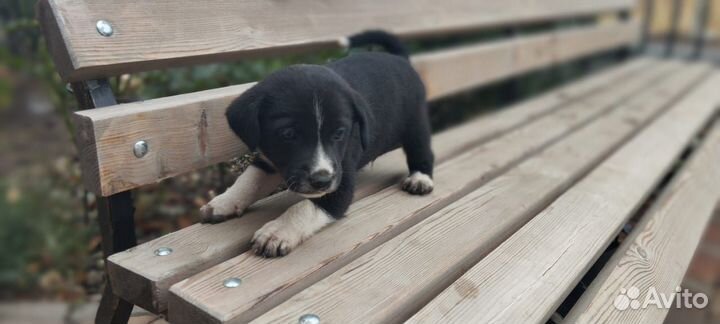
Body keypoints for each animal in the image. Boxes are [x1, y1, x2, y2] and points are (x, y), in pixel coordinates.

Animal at [198, 31, 434, 258]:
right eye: (288, 134)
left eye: (339, 133)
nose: (322, 181)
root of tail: (399, 59)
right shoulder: (268, 158)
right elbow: (249, 180)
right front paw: (224, 201)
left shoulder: (341, 183)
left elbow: (303, 207)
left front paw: (277, 231)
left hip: (415, 124)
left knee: (422, 151)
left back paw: (421, 178)